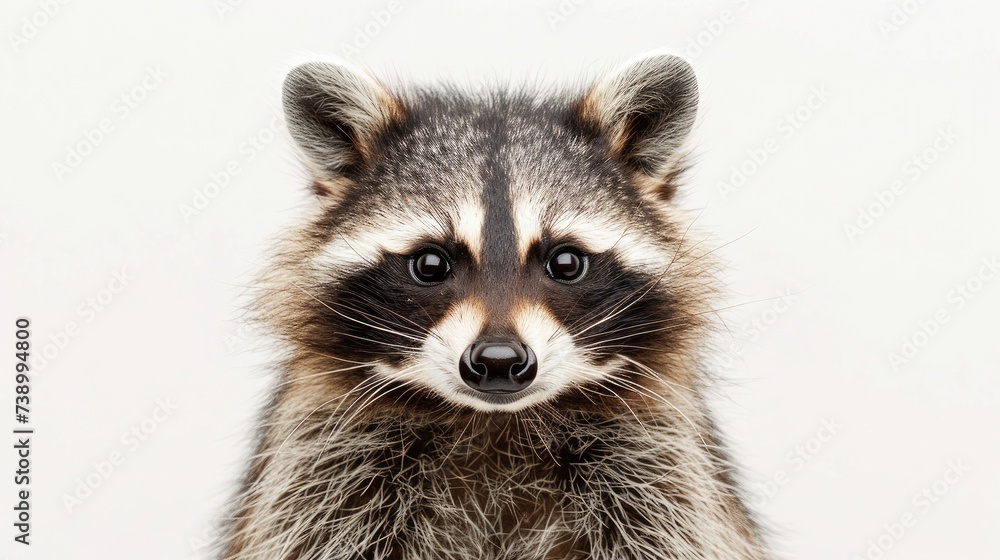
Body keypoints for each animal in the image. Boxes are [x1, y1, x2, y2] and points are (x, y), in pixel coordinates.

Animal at [220, 53, 770, 560]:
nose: (499, 361)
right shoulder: (324, 463)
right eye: (430, 264)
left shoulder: (657, 465)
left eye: (565, 262)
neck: (494, 424)